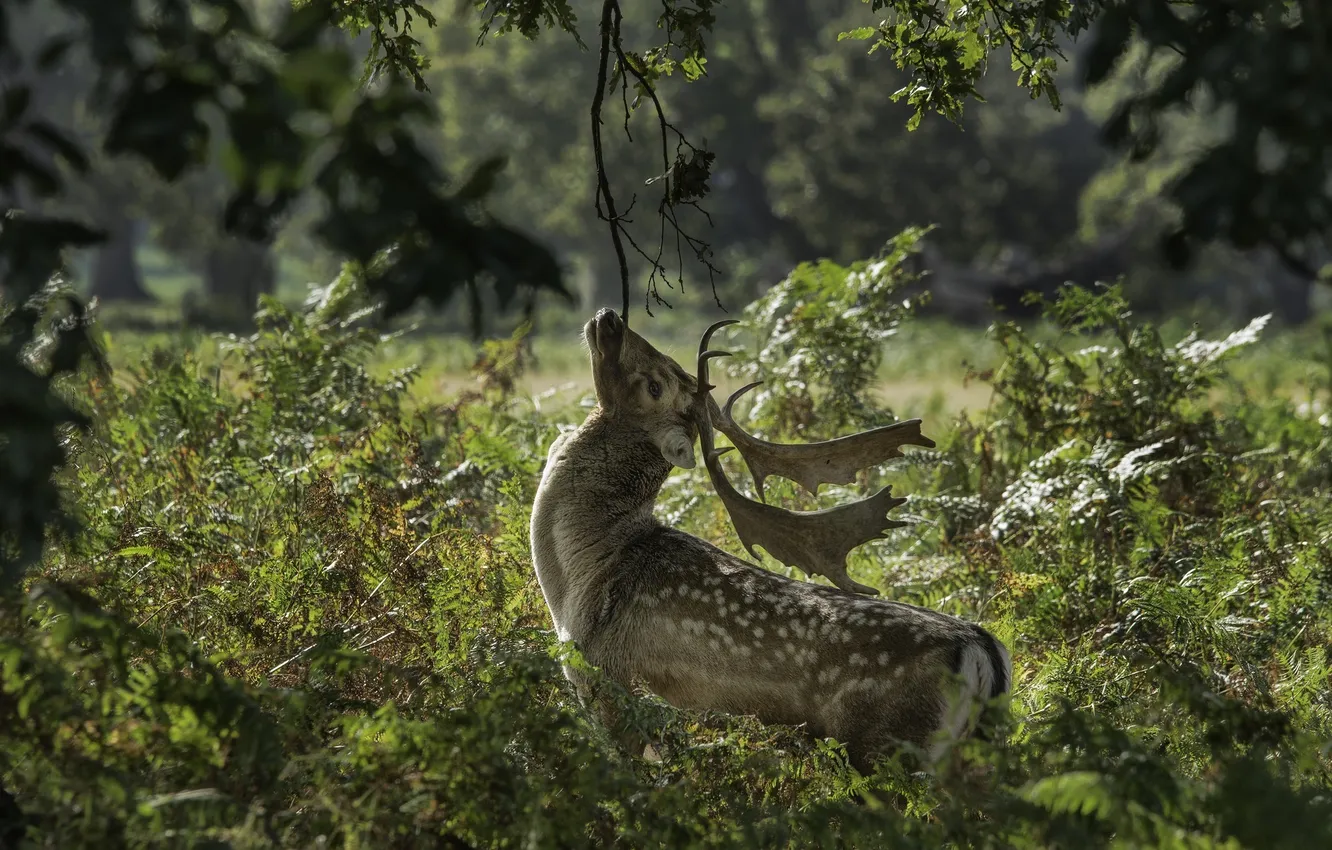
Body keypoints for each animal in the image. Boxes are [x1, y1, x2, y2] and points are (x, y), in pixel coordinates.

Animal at [530, 307, 1006, 772]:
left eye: (654, 386)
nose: (610, 318)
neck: (581, 578)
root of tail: (982, 650)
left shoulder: (613, 685)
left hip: (888, 748)